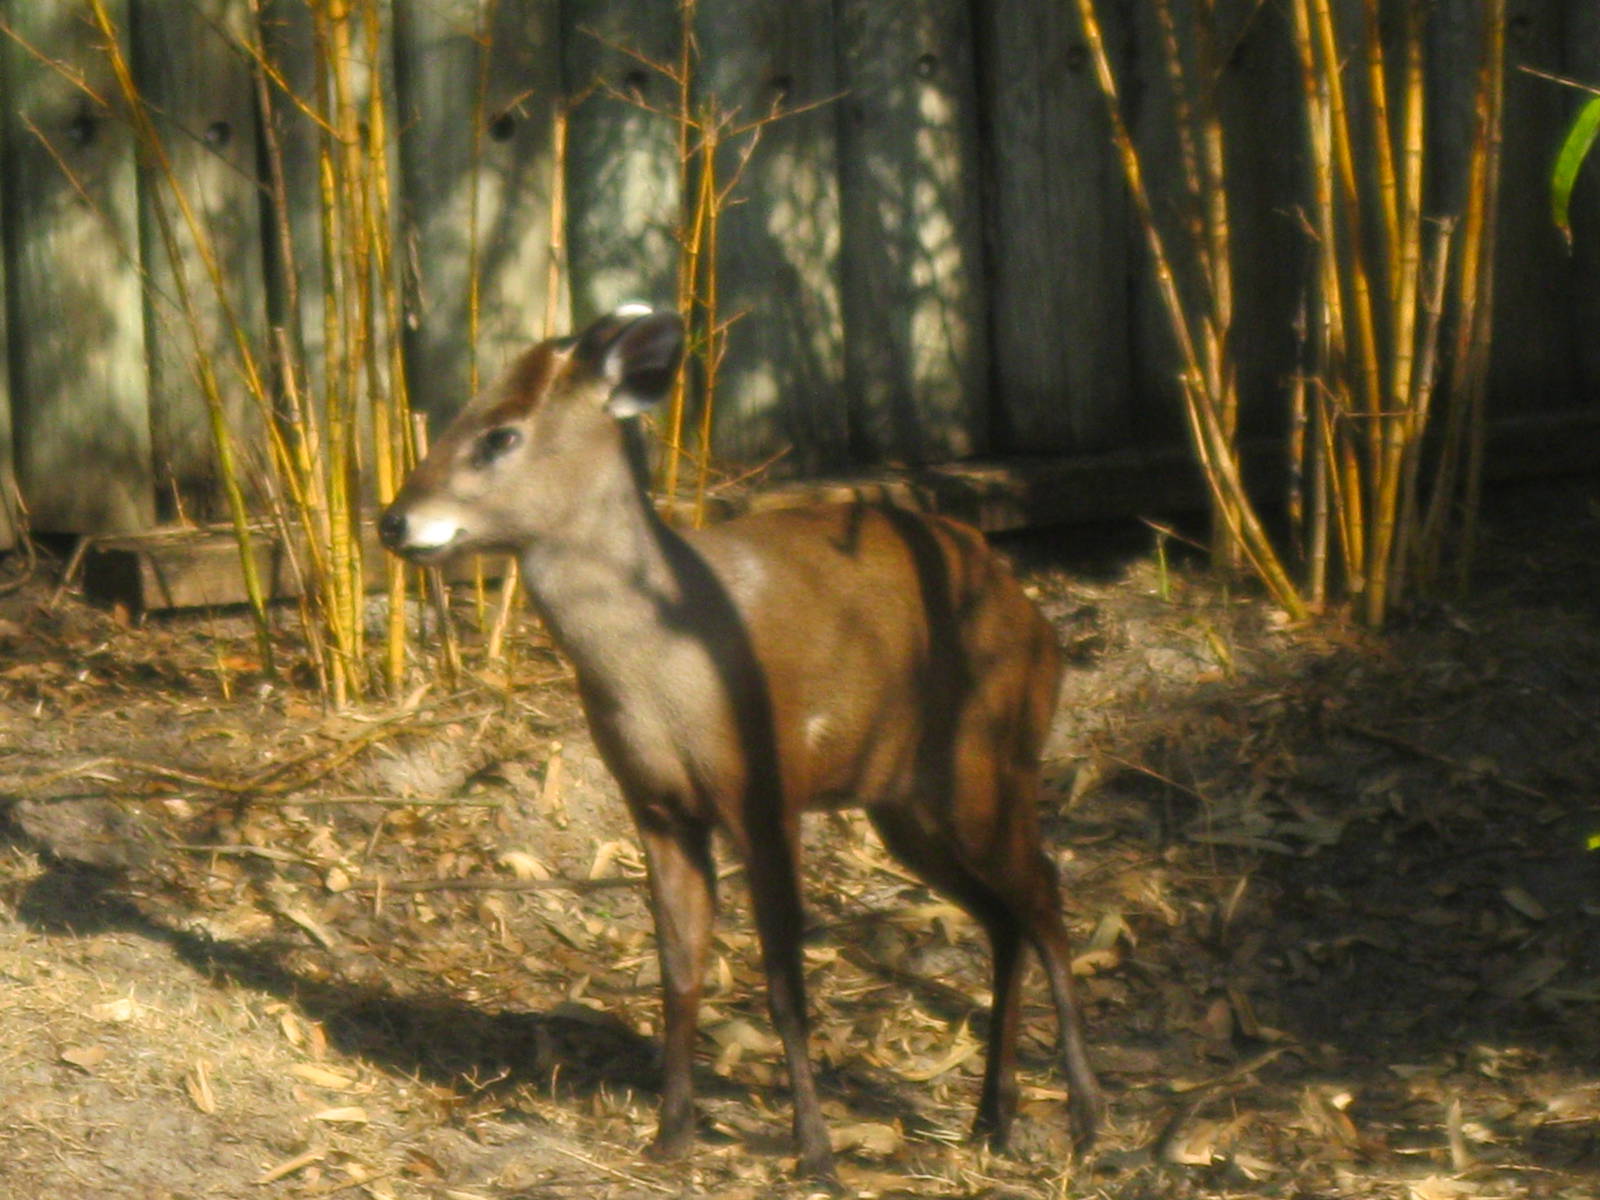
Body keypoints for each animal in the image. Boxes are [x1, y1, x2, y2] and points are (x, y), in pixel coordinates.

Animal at [377, 308, 1101, 1185]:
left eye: (500, 434)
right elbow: (680, 969)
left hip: (988, 765)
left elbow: (785, 977)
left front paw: (815, 1153)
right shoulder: (657, 807)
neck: (665, 671)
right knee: (1004, 918)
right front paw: (671, 1135)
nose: (393, 521)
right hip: (907, 805)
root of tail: (1041, 630)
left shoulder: (765, 793)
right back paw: (992, 1116)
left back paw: (1087, 1120)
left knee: (1045, 896)